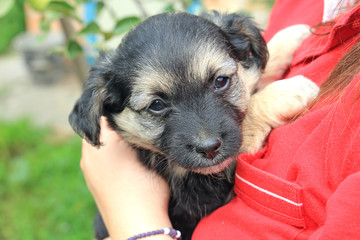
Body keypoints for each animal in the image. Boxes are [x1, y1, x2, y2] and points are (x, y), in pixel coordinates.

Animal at [69, 11, 318, 240]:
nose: (209, 149)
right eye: (157, 105)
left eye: (220, 81)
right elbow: (248, 116)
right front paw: (285, 93)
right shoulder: (202, 190)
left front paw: (289, 37)